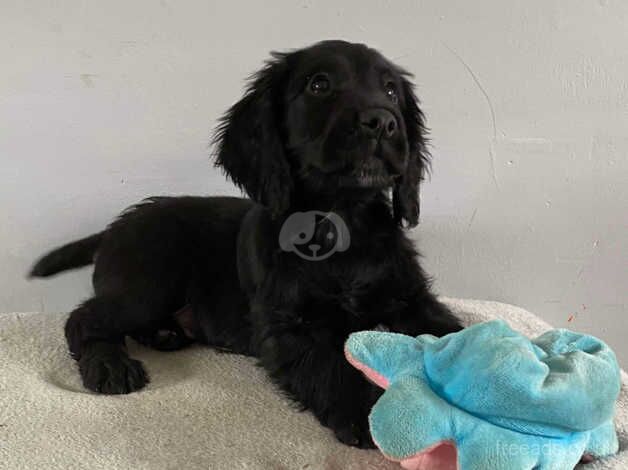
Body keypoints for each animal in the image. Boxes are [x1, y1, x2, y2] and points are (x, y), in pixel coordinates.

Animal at [30, 40, 462, 448]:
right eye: (319, 84)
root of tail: (112, 228)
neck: (341, 224)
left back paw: (163, 335)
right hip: (149, 283)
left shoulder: (410, 298)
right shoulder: (288, 325)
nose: (382, 122)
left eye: (391, 91)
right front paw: (370, 413)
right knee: (82, 318)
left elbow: (450, 334)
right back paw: (110, 366)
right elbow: (330, 365)